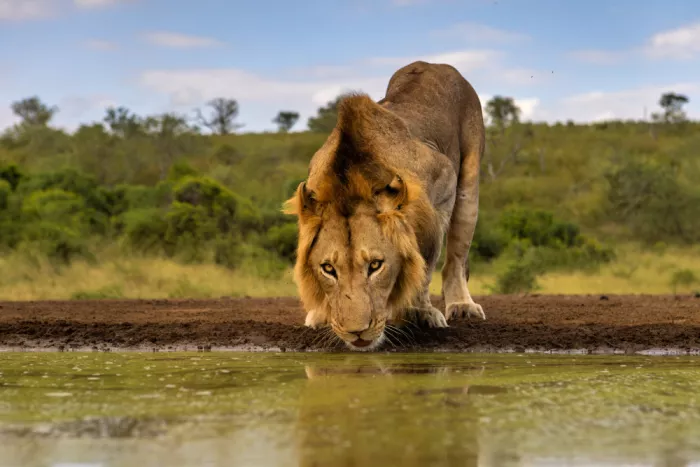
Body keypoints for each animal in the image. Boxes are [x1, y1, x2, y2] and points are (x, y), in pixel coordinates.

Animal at [283, 60, 486, 351]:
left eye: (376, 266)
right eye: (328, 269)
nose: (356, 332)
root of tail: (435, 64)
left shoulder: (443, 183)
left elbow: (425, 265)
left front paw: (420, 312)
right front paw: (321, 314)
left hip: (469, 181)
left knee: (456, 259)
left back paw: (462, 305)